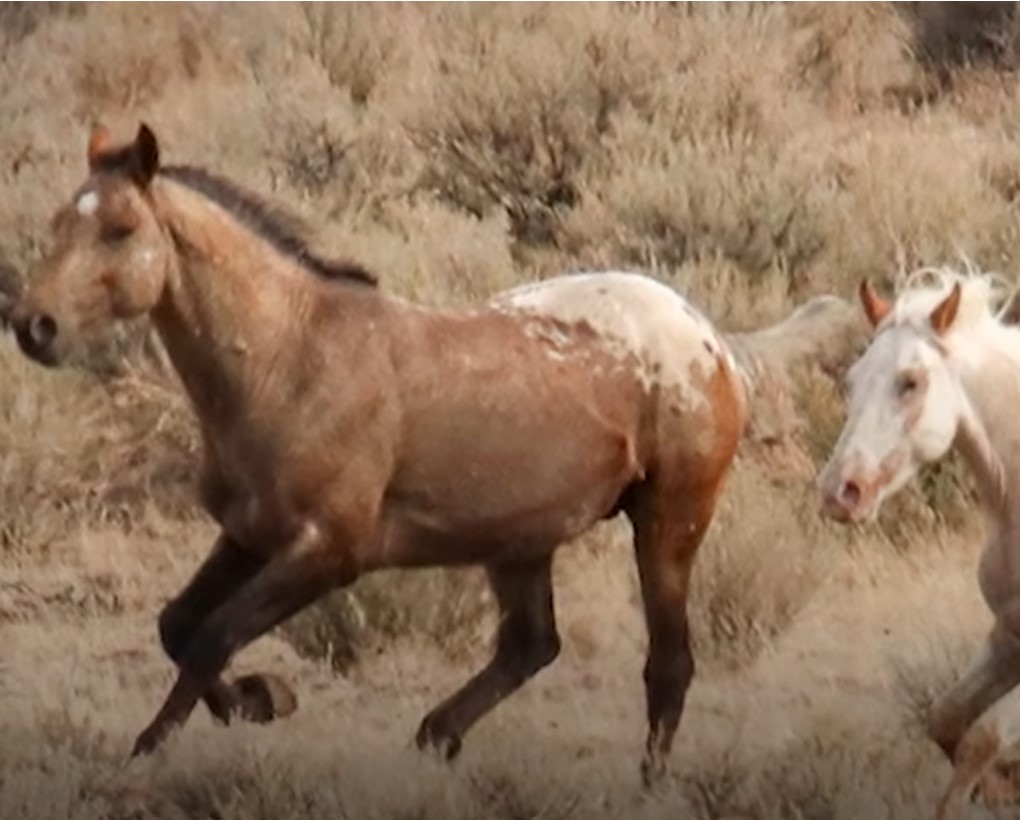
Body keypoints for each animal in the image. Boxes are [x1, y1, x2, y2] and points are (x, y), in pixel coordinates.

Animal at [11, 124, 848, 783]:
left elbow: (212, 635)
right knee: (531, 645)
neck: (292, 358)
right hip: (521, 541)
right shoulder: (248, 535)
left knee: (667, 663)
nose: (33, 326)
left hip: (669, 519)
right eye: (57, 223)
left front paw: (165, 741)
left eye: (120, 228)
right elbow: (178, 626)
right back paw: (435, 737)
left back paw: (640, 783)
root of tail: (712, 338)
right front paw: (259, 700)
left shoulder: (328, 551)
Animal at [816, 269, 1020, 819]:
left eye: (910, 382)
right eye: (851, 381)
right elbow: (947, 723)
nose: (840, 492)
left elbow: (984, 738)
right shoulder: (1006, 637)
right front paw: (1000, 791)